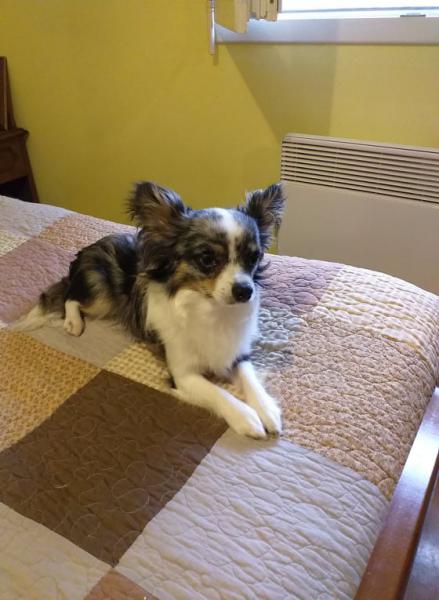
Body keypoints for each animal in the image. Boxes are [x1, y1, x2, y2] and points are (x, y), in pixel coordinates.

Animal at [16, 181, 285, 438]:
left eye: (253, 258)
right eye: (207, 259)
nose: (245, 291)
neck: (209, 307)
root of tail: (89, 248)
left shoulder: (236, 353)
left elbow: (250, 379)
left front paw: (267, 410)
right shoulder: (183, 376)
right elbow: (219, 393)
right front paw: (247, 418)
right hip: (101, 294)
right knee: (70, 297)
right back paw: (73, 322)